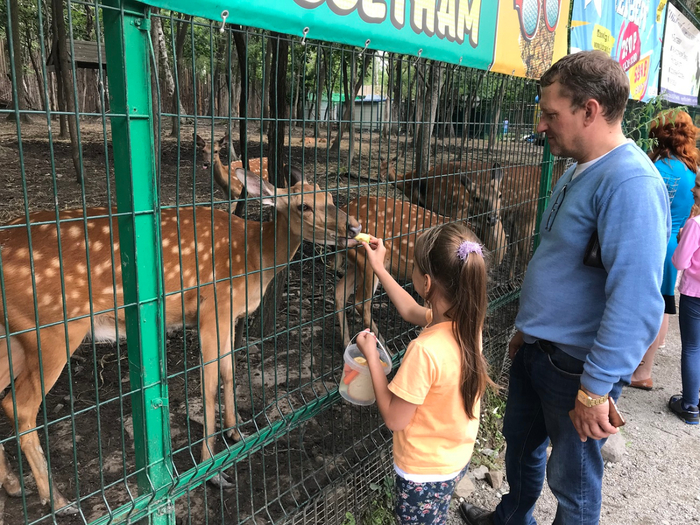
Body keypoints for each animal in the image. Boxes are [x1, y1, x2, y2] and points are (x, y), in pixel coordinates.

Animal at [0, 168, 360, 512]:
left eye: (331, 197)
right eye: (304, 206)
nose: (354, 226)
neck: (254, 258)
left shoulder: (229, 316)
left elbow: (229, 372)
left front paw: (237, 432)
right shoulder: (213, 308)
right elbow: (210, 384)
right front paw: (212, 471)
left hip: (15, 336)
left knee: (4, 398)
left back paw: (15, 485)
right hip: (53, 328)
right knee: (21, 406)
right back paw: (59, 502)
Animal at [336, 195, 484, 348]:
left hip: (357, 263)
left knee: (340, 292)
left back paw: (346, 343)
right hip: (366, 259)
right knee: (361, 302)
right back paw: (384, 346)